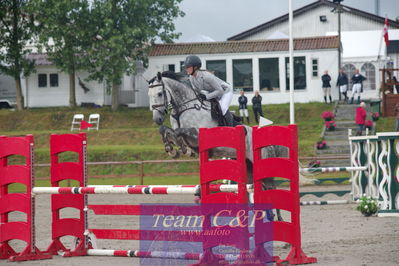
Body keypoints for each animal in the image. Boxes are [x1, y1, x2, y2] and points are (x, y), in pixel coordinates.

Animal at [148, 70, 286, 220]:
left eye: (159, 93)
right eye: (148, 95)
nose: (157, 119)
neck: (185, 107)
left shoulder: (198, 134)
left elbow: (180, 132)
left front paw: (180, 148)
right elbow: (166, 130)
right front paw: (173, 149)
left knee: (272, 188)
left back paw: (279, 218)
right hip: (249, 170)